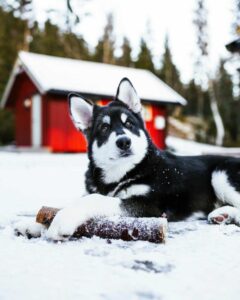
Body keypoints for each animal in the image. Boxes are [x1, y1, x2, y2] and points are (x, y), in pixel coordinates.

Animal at [16, 78, 240, 241]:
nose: (124, 141)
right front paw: (34, 224)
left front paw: (63, 220)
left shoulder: (150, 206)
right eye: (104, 128)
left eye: (129, 124)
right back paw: (222, 214)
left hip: (221, 173)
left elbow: (94, 199)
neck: (123, 173)